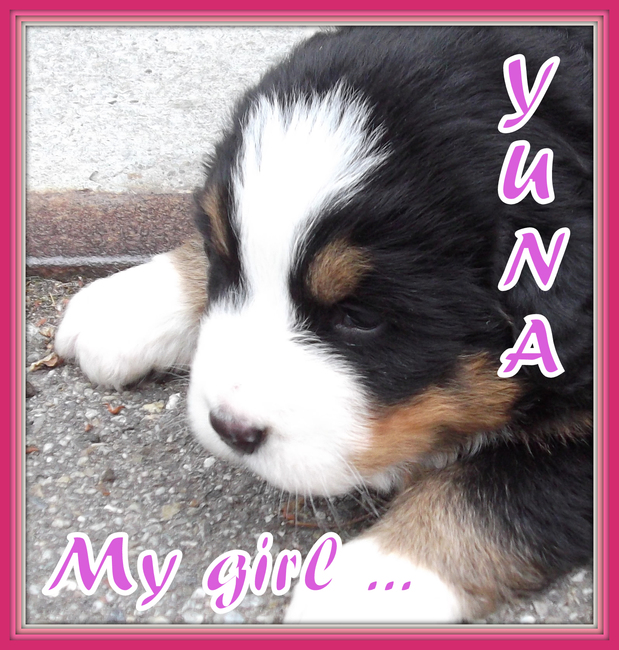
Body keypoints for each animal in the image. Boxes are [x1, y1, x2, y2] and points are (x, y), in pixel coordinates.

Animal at [54, 26, 593, 623]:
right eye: (224, 260)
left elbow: (497, 488)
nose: (229, 429)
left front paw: (380, 576)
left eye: (360, 318)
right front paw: (133, 301)